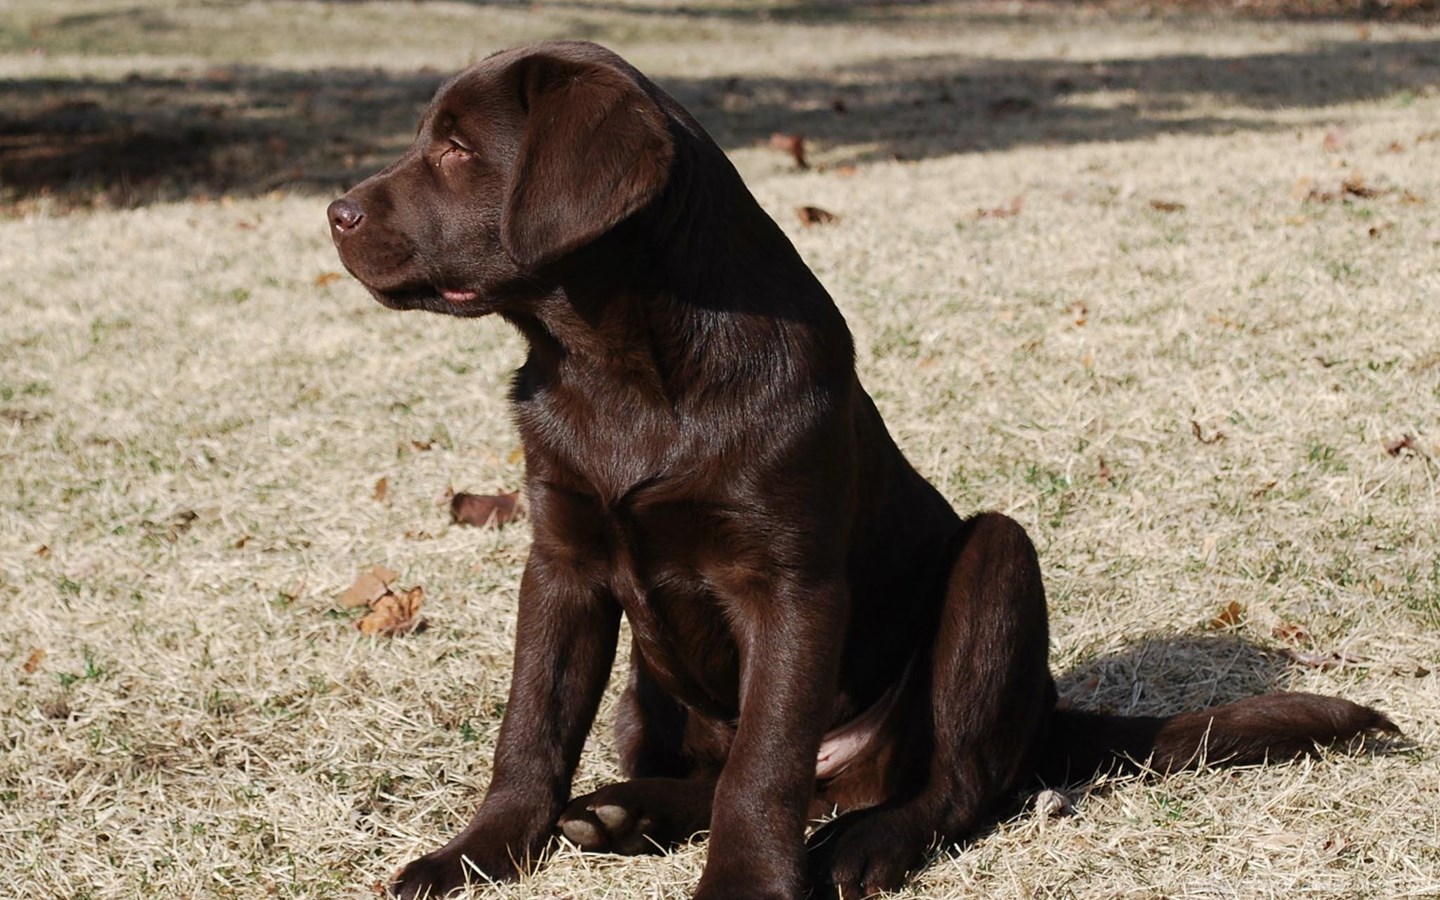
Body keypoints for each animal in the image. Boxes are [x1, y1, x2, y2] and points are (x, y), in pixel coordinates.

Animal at [327, 40, 1397, 900]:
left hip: (996, 568)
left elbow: (765, 762)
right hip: (648, 695)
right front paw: (476, 855)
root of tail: (1051, 710)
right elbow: (531, 731)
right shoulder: (562, 560)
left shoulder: (789, 584)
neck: (617, 365)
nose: (335, 212)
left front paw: (745, 885)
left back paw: (866, 843)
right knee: (733, 773)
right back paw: (627, 811)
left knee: (951, 783)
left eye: (457, 150)